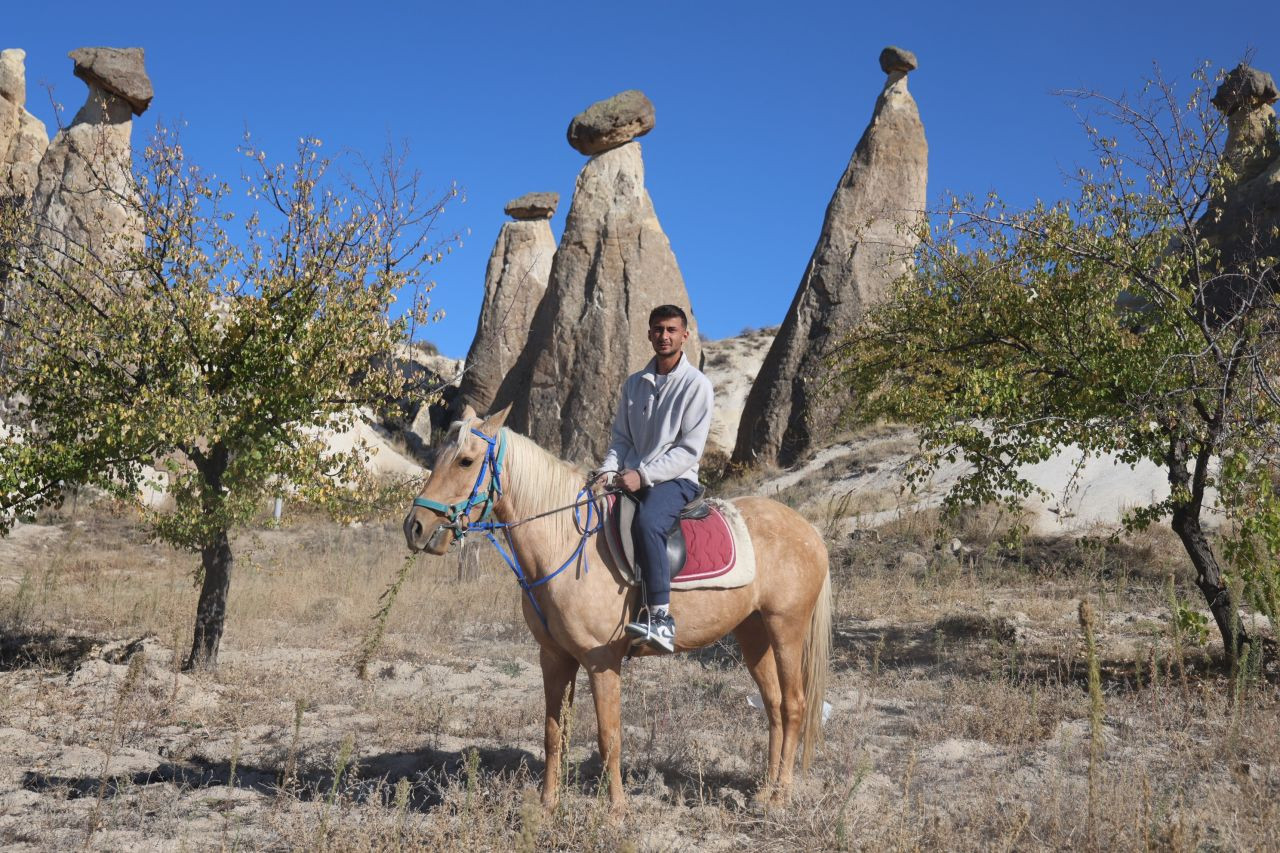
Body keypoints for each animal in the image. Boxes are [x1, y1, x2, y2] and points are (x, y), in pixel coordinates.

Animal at [404, 402, 834, 809]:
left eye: (465, 460)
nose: (416, 527)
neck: (564, 541)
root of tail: (808, 529)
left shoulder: (602, 661)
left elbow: (608, 735)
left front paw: (615, 811)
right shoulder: (554, 657)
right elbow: (553, 731)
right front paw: (547, 805)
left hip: (786, 628)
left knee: (794, 705)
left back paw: (780, 796)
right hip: (753, 632)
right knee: (773, 705)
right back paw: (764, 790)